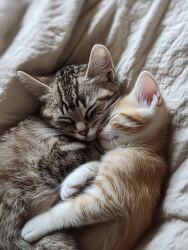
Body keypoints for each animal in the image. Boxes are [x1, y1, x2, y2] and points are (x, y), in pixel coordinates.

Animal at [21, 70, 169, 250]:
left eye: (111, 118)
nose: (97, 131)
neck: (143, 147)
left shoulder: (110, 199)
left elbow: (71, 210)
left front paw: (35, 225)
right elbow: (97, 162)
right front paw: (71, 183)